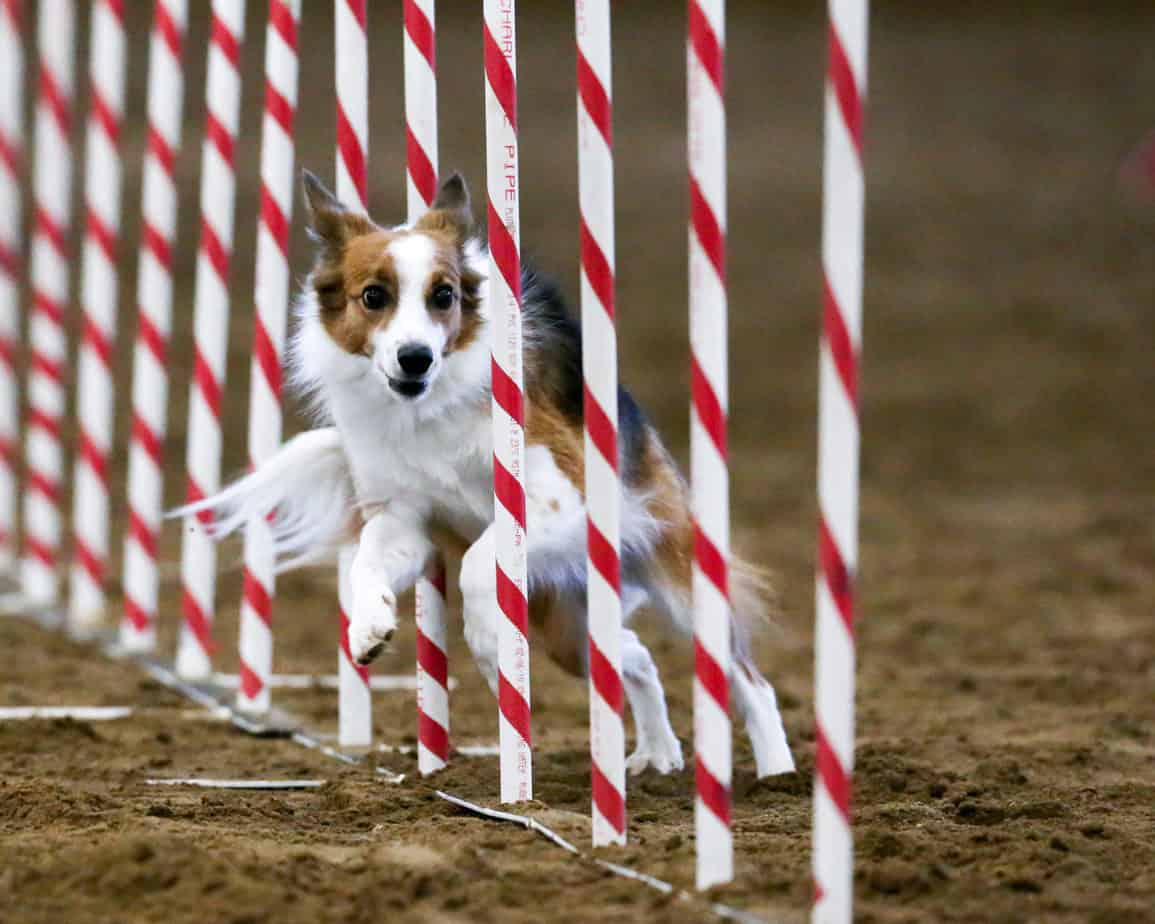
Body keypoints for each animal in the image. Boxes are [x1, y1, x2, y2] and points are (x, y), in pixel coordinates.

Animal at [191, 169, 803, 776]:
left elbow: (480, 565)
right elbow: (368, 558)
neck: (430, 404)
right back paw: (657, 752)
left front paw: (489, 646)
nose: (415, 358)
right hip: (571, 629)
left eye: (444, 295)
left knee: (747, 679)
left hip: (674, 574)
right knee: (636, 656)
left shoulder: (563, 497)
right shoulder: (403, 518)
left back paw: (776, 771)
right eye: (373, 296)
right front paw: (368, 626)